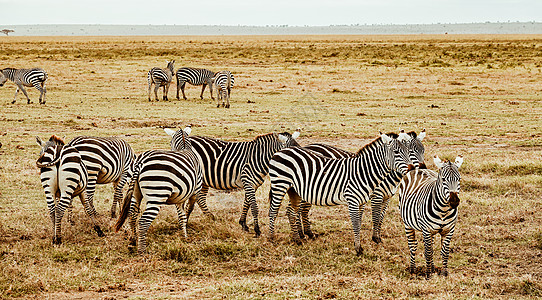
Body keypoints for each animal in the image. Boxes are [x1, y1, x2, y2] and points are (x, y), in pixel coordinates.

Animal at [115, 125, 202, 254]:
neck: (185, 148)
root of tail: (140, 162)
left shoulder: (180, 196)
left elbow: (181, 216)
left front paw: (183, 235)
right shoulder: (194, 191)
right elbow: (186, 212)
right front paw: (185, 236)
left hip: (135, 192)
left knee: (132, 214)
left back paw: (132, 241)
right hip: (157, 194)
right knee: (143, 221)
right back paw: (142, 251)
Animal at [166, 127, 302, 236]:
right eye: (293, 153)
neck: (258, 157)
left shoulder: (252, 184)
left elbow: (247, 203)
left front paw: (243, 224)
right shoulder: (248, 181)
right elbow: (254, 207)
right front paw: (257, 230)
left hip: (202, 180)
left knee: (199, 198)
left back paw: (197, 217)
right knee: (197, 198)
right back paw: (205, 217)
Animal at [270, 133, 414, 255]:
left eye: (408, 151)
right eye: (396, 152)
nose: (412, 168)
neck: (363, 172)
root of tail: (283, 150)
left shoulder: (361, 202)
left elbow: (359, 223)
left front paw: (359, 245)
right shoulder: (354, 200)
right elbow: (356, 224)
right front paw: (358, 249)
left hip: (294, 190)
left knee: (292, 212)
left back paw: (297, 240)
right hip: (279, 184)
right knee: (273, 211)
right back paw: (272, 239)